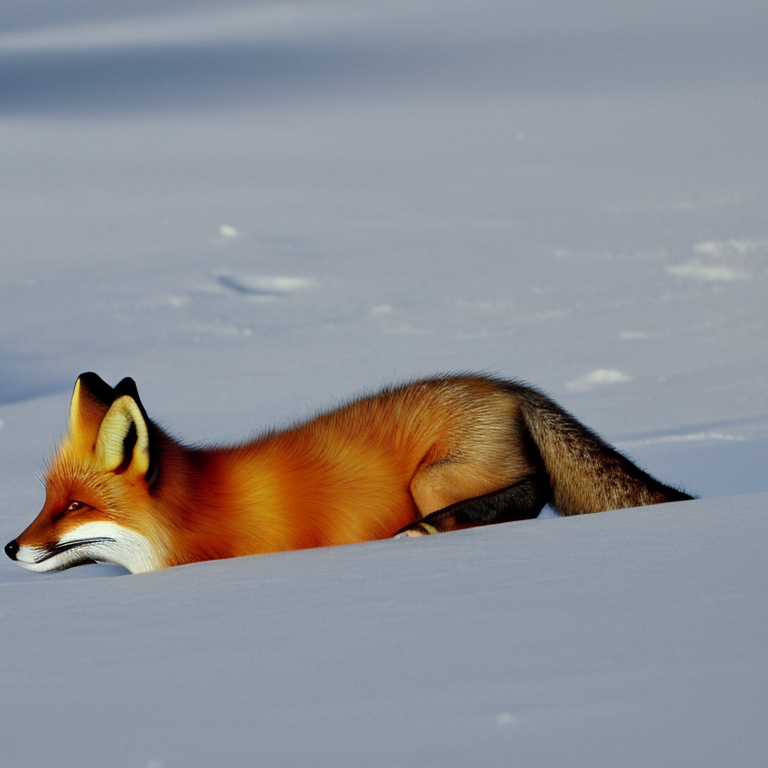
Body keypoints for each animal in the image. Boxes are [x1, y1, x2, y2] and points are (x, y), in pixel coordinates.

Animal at [5, 372, 693, 574]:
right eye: (48, 500)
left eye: (76, 507)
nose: (10, 548)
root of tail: (510, 386)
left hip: (432, 480)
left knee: (532, 492)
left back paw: (431, 530)